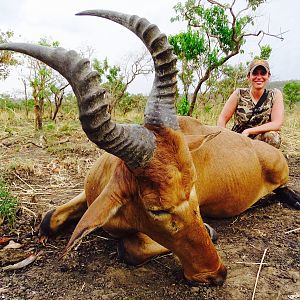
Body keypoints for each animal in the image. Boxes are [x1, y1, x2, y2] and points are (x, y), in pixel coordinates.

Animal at [1, 9, 298, 286]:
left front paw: (210, 231)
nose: (216, 274)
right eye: (156, 209)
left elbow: (128, 249)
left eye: (194, 189)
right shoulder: (90, 196)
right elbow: (48, 217)